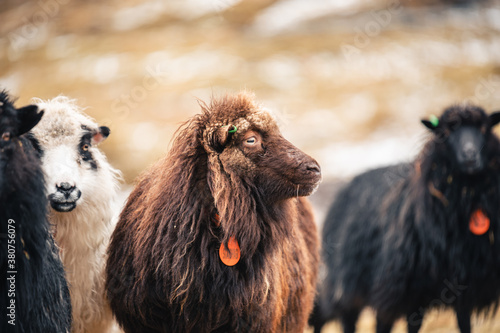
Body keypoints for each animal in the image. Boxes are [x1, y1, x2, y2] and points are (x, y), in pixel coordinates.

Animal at [314, 104, 500, 332]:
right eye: (445, 134)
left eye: (484, 129)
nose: (470, 156)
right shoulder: (406, 290)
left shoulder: (464, 287)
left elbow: (464, 324)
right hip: (354, 284)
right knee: (352, 319)